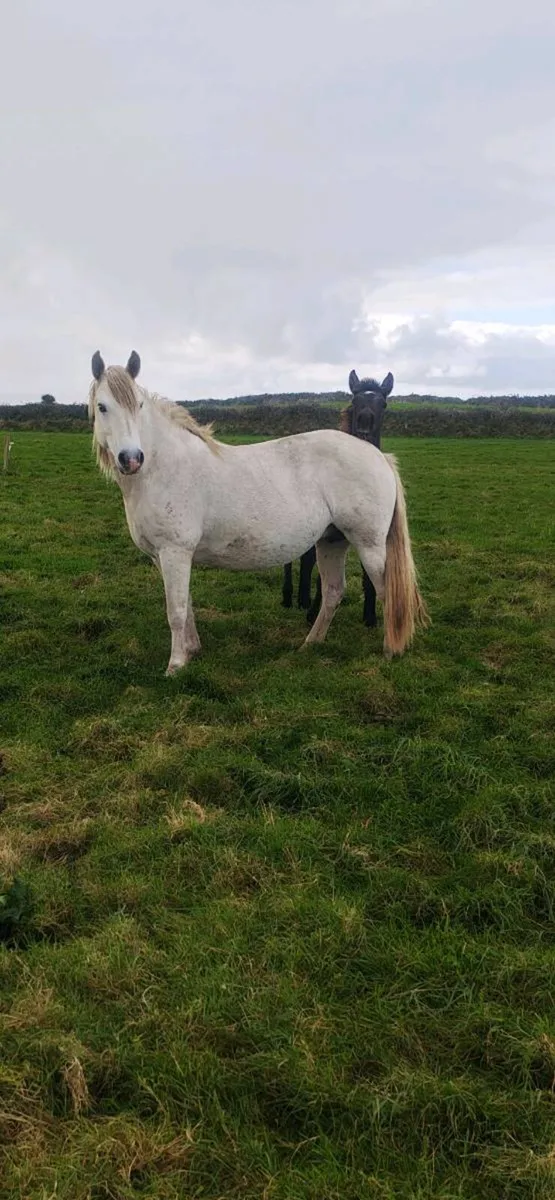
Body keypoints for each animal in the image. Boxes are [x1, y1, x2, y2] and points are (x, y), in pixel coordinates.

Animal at [282, 370, 394, 628]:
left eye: (383, 403)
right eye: (355, 400)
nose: (363, 425)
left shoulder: (369, 536)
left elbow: (368, 576)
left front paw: (370, 616)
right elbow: (323, 579)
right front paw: (314, 614)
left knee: (306, 559)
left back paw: (302, 599)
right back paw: (289, 598)